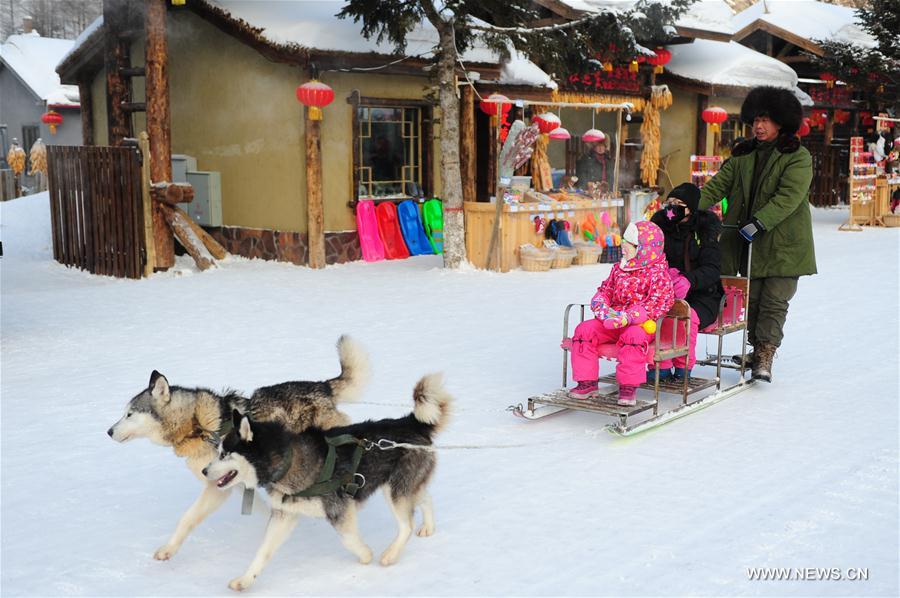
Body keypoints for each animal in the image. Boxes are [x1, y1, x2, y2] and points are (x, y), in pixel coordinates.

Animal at [108, 338, 370, 564]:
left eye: (129, 414)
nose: (109, 431)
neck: (197, 426)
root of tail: (322, 386)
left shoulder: (216, 488)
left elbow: (187, 518)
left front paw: (168, 549)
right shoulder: (236, 482)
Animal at [207, 372, 454, 592]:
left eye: (224, 454)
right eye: (218, 452)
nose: (204, 470)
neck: (289, 461)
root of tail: (410, 422)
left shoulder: (339, 508)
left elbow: (348, 539)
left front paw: (366, 555)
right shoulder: (284, 514)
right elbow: (263, 551)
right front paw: (245, 580)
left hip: (396, 490)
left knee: (406, 525)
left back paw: (390, 555)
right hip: (403, 486)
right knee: (424, 496)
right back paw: (428, 527)